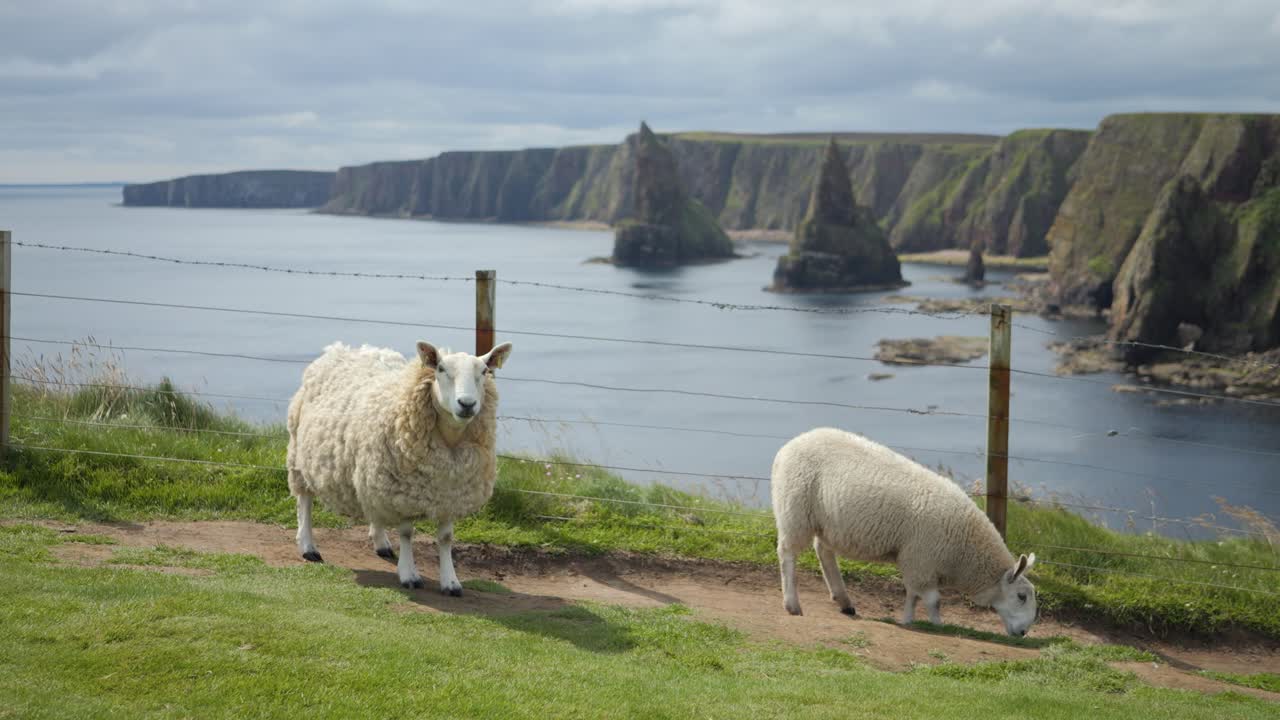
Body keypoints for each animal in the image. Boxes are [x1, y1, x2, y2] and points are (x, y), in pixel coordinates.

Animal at [286, 339, 512, 594]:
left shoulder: (449, 494)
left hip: (371, 475)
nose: (467, 404)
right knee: (304, 501)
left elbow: (446, 538)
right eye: (441, 369)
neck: (449, 440)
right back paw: (308, 547)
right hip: (300, 456)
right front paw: (409, 575)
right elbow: (406, 533)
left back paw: (381, 543)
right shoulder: (402, 492)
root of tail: (342, 349)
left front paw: (451, 582)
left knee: (373, 509)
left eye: (484, 371)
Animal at [771, 427, 1038, 636]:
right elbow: (933, 600)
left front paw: (908, 620)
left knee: (824, 552)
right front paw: (937, 625)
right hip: (795, 510)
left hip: (827, 522)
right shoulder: (922, 558)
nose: (1024, 632)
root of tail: (790, 445)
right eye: (1021, 596)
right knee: (787, 553)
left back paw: (844, 601)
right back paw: (792, 604)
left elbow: (913, 594)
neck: (964, 551)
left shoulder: (917, 562)